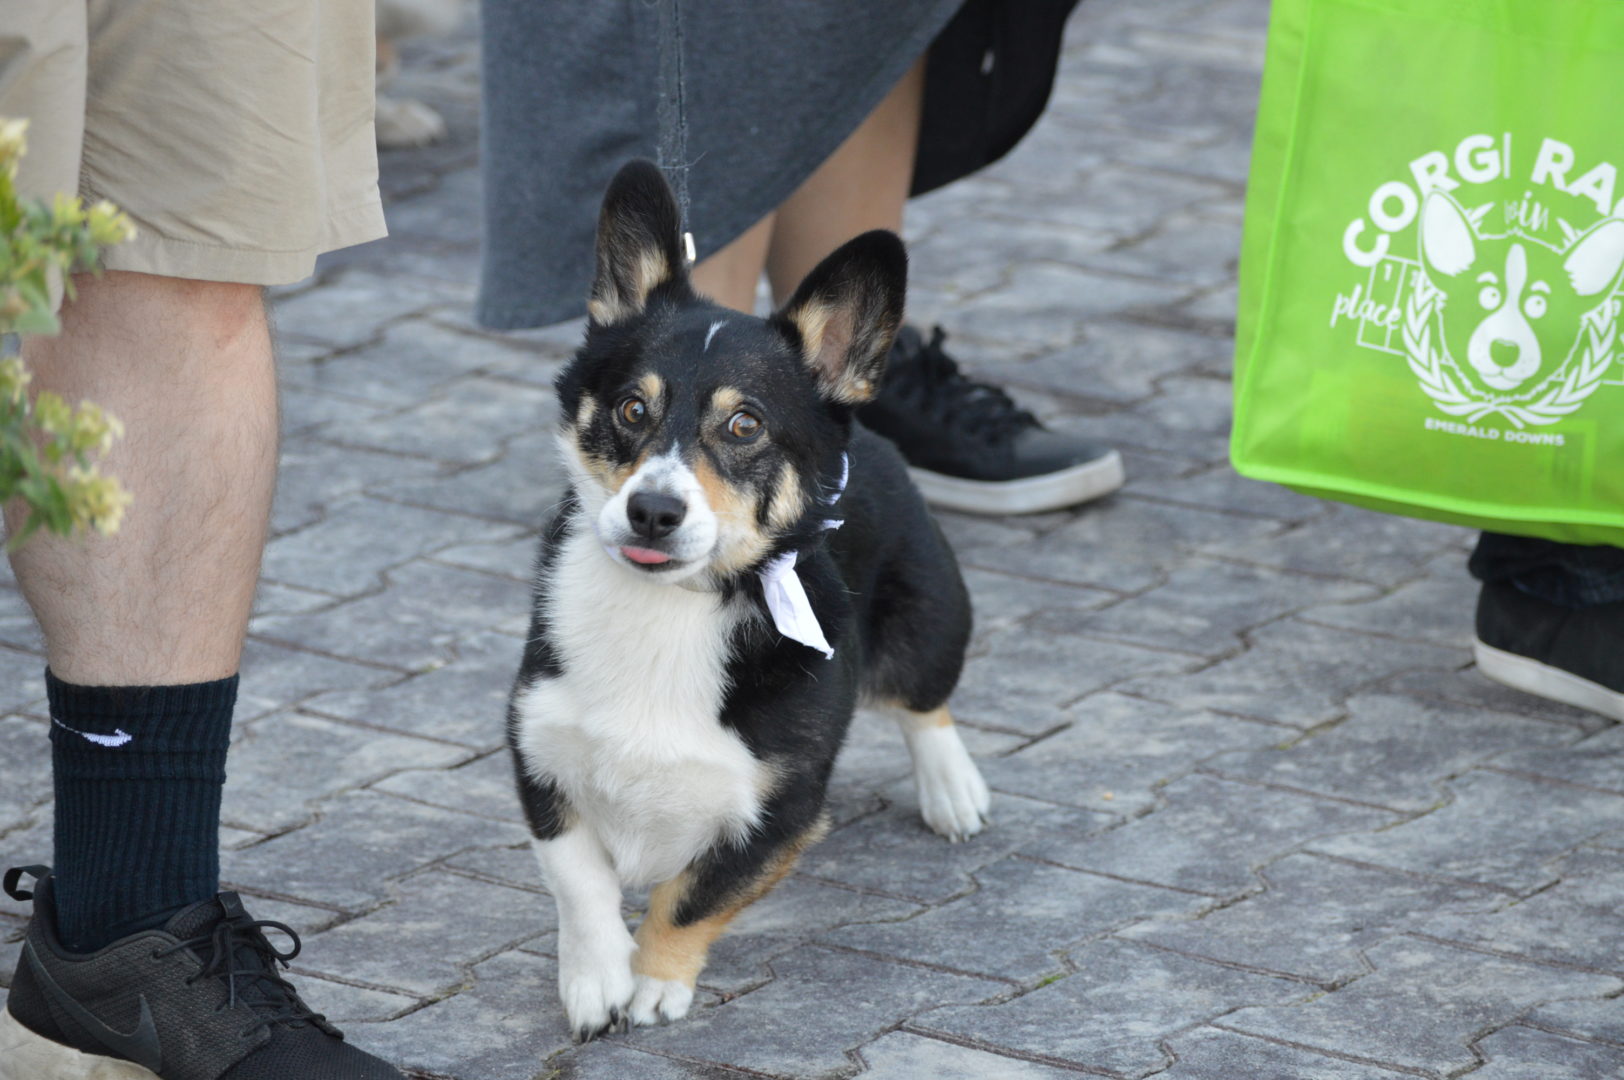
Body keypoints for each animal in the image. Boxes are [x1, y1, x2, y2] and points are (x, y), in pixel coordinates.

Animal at [507, 160, 991, 1042]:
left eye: (744, 425)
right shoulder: (540, 759)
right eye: (632, 408)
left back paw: (952, 790)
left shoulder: (783, 812)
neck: (669, 605)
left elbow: (688, 900)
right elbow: (580, 881)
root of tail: (867, 428)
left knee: (923, 702)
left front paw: (653, 985)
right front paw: (596, 983)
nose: (652, 511)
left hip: (930, 619)